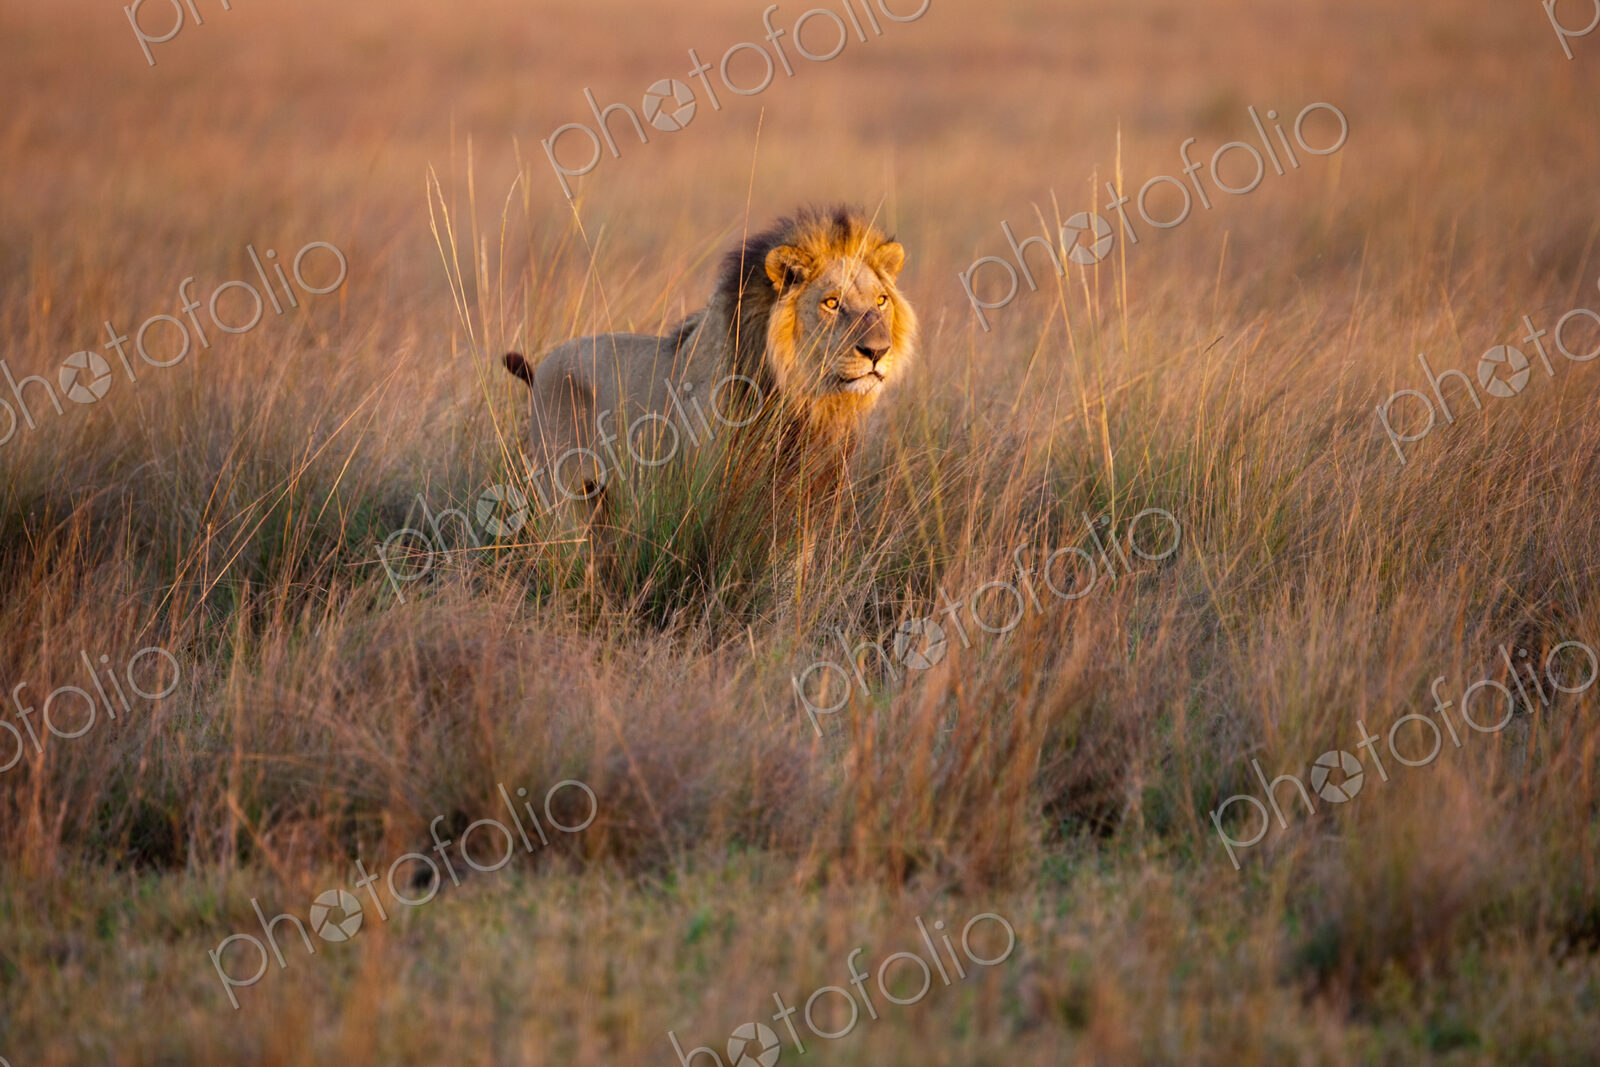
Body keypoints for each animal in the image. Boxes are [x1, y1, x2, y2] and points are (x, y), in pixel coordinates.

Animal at [503, 207, 917, 571]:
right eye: (831, 303)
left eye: (881, 301)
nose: (878, 352)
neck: (805, 402)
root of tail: (543, 367)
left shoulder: (807, 497)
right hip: (565, 495)